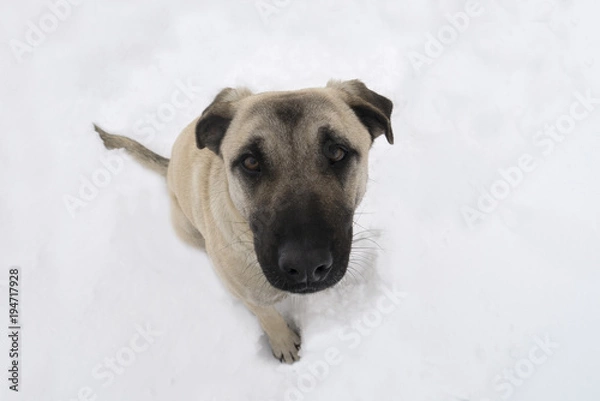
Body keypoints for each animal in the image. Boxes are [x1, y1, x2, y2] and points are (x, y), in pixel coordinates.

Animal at [92, 79, 394, 362]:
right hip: (186, 229)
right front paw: (283, 341)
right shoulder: (248, 295)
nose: (306, 264)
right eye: (250, 162)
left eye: (336, 152)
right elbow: (267, 315)